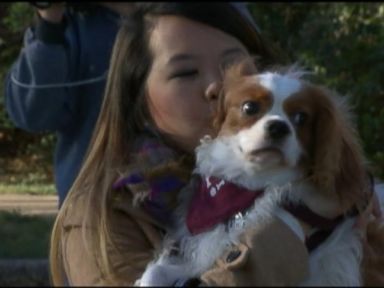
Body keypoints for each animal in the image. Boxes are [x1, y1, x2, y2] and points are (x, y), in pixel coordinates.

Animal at [137, 60, 384, 286]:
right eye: (250, 108)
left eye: (301, 118)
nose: (278, 127)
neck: (251, 186)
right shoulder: (207, 253)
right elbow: (157, 271)